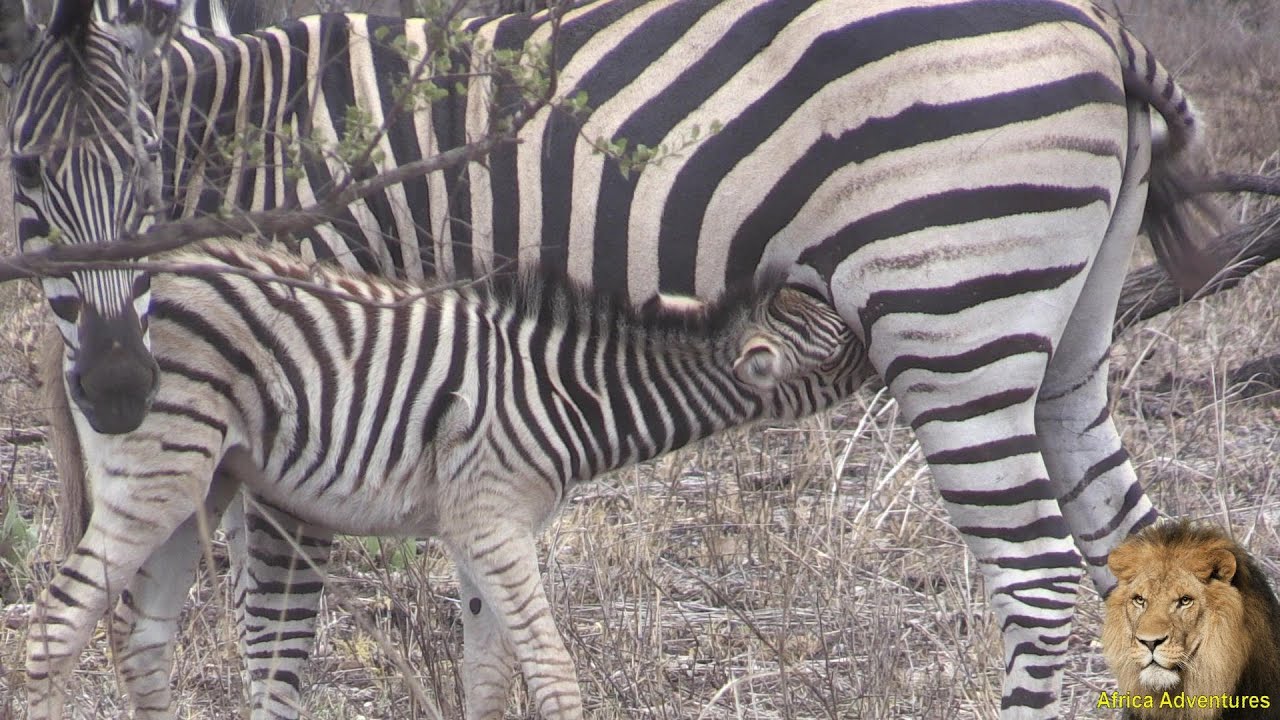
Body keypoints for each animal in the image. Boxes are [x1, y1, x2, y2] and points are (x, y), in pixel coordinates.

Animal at [25, 237, 869, 720]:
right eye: (844, 352)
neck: (570, 393)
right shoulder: (493, 521)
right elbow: (552, 673)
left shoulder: (480, 531)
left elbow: (489, 678)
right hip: (163, 467)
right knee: (58, 620)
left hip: (201, 485)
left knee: (141, 637)